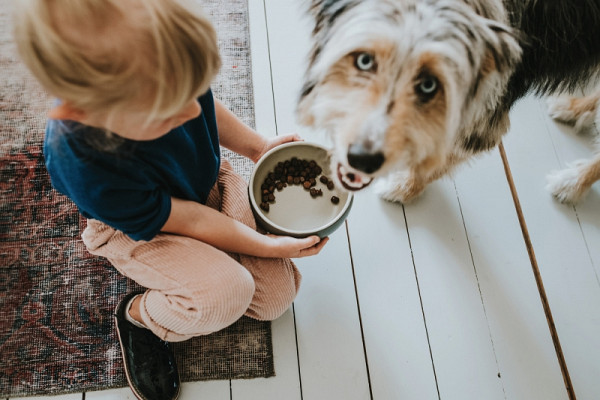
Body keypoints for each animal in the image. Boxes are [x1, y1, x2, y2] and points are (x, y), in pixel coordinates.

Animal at [298, 0, 600, 203]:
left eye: (429, 85)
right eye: (364, 60)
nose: (362, 159)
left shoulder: (481, 121)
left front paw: (403, 186)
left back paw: (571, 183)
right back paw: (576, 107)